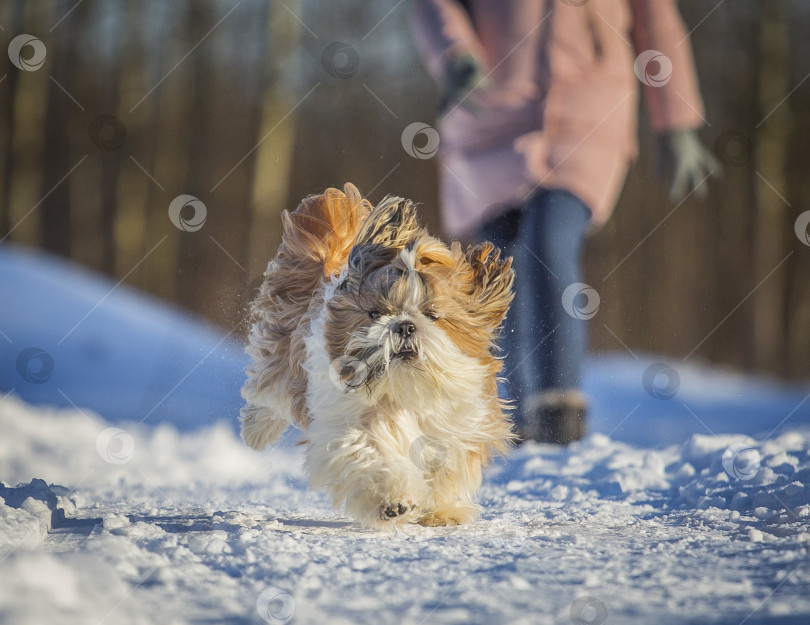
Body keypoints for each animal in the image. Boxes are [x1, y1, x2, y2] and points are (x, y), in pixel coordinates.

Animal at [238, 182, 512, 528]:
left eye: (432, 315)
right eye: (375, 313)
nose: (405, 325)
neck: (405, 391)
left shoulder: (455, 428)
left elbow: (445, 468)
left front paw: (440, 510)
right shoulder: (350, 426)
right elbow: (369, 453)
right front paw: (392, 501)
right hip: (281, 351)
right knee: (268, 390)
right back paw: (255, 431)